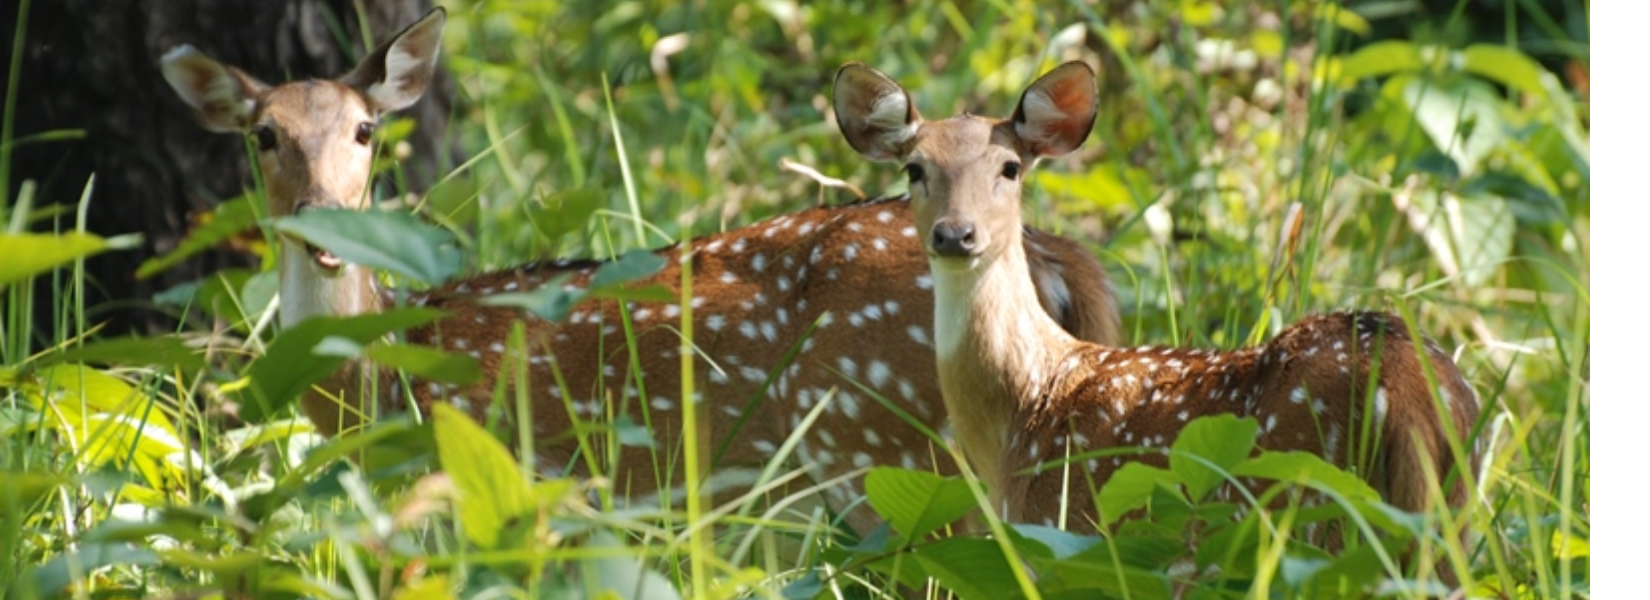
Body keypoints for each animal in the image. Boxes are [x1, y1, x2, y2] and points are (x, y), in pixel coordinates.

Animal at [160, 5, 1128, 530]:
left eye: (366, 130)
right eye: (264, 135)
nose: (323, 222)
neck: (378, 383)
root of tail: (1051, 253)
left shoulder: (488, 475)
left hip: (891, 450)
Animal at [838, 59, 1485, 553]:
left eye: (1011, 167)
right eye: (914, 168)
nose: (955, 234)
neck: (1026, 408)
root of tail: (1409, 389)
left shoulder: (1059, 533)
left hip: (1310, 506)